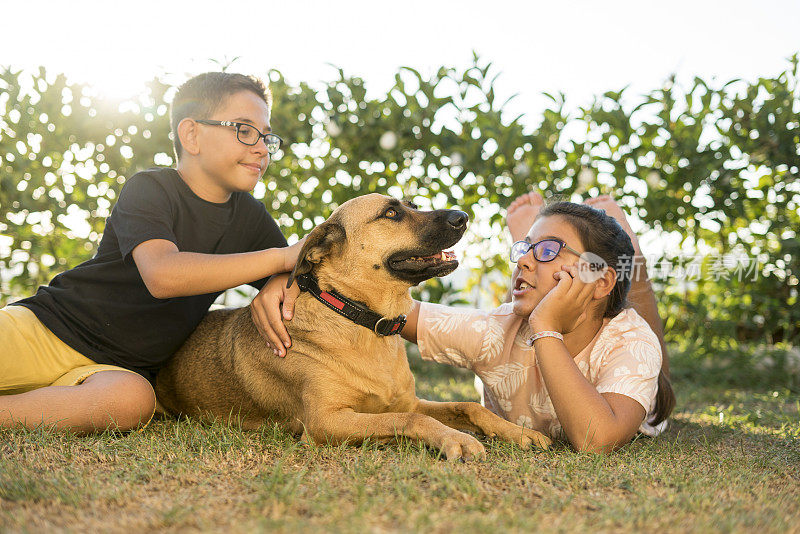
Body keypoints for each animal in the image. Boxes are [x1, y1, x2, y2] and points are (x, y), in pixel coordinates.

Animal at [158, 195, 556, 462]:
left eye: (412, 204)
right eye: (391, 213)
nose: (463, 216)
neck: (363, 321)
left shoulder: (409, 399)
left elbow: (468, 406)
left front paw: (517, 432)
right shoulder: (325, 422)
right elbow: (409, 418)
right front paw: (450, 438)